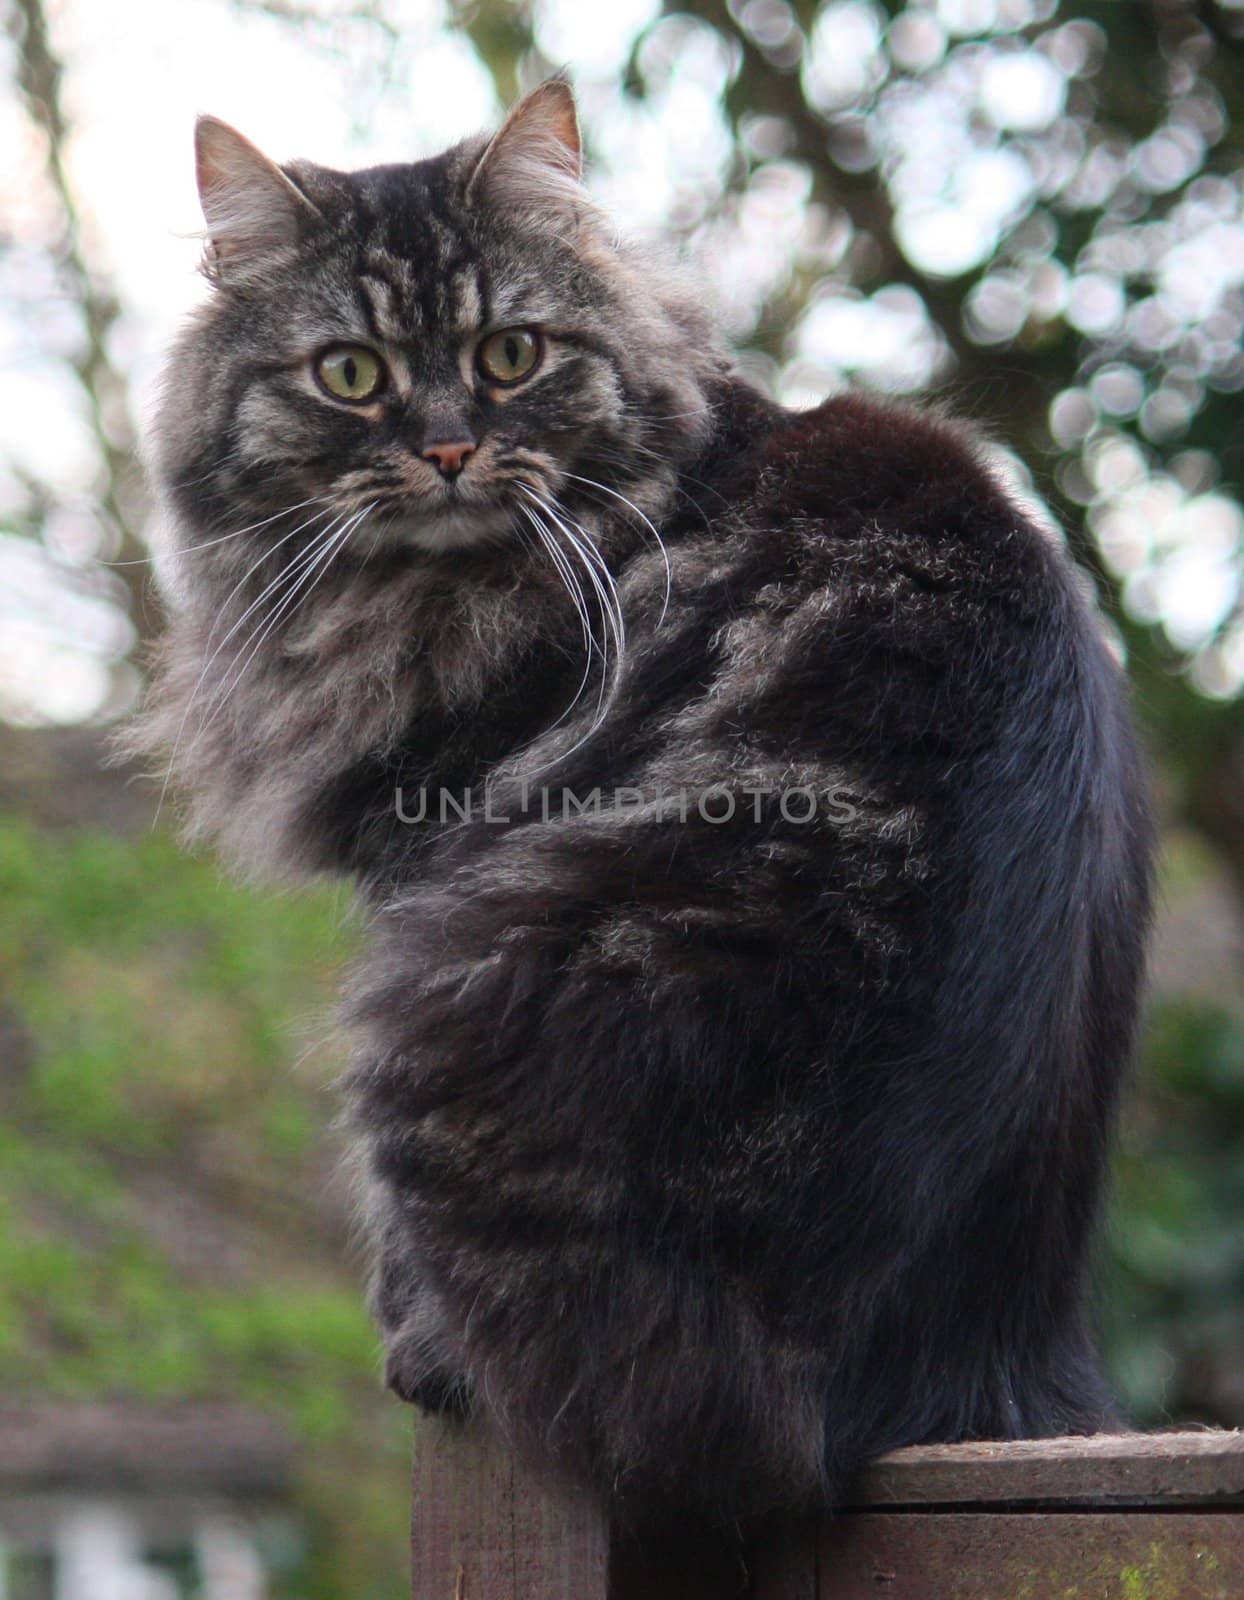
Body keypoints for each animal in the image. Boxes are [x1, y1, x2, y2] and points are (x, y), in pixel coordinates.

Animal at [138, 84, 1151, 1523]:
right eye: (352, 375)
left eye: (509, 355)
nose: (448, 448)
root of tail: (930, 1375)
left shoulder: (421, 857)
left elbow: (392, 1242)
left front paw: (407, 1342)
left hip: (454, 990)